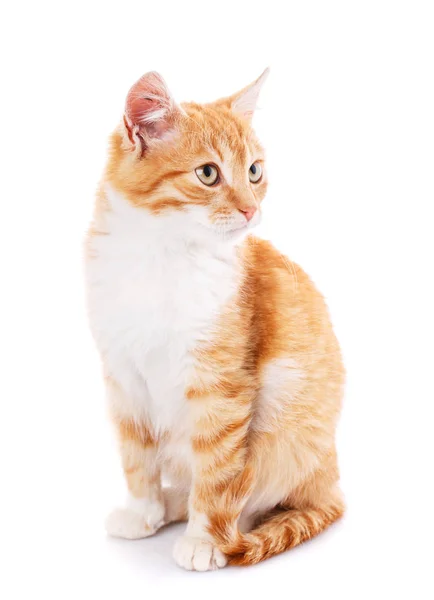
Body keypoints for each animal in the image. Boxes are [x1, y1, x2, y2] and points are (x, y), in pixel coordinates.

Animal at [85, 70, 346, 572]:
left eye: (254, 171)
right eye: (208, 173)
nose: (250, 209)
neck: (162, 255)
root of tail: (331, 478)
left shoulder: (220, 385)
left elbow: (218, 471)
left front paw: (204, 539)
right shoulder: (123, 376)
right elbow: (136, 455)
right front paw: (143, 510)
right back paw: (170, 504)